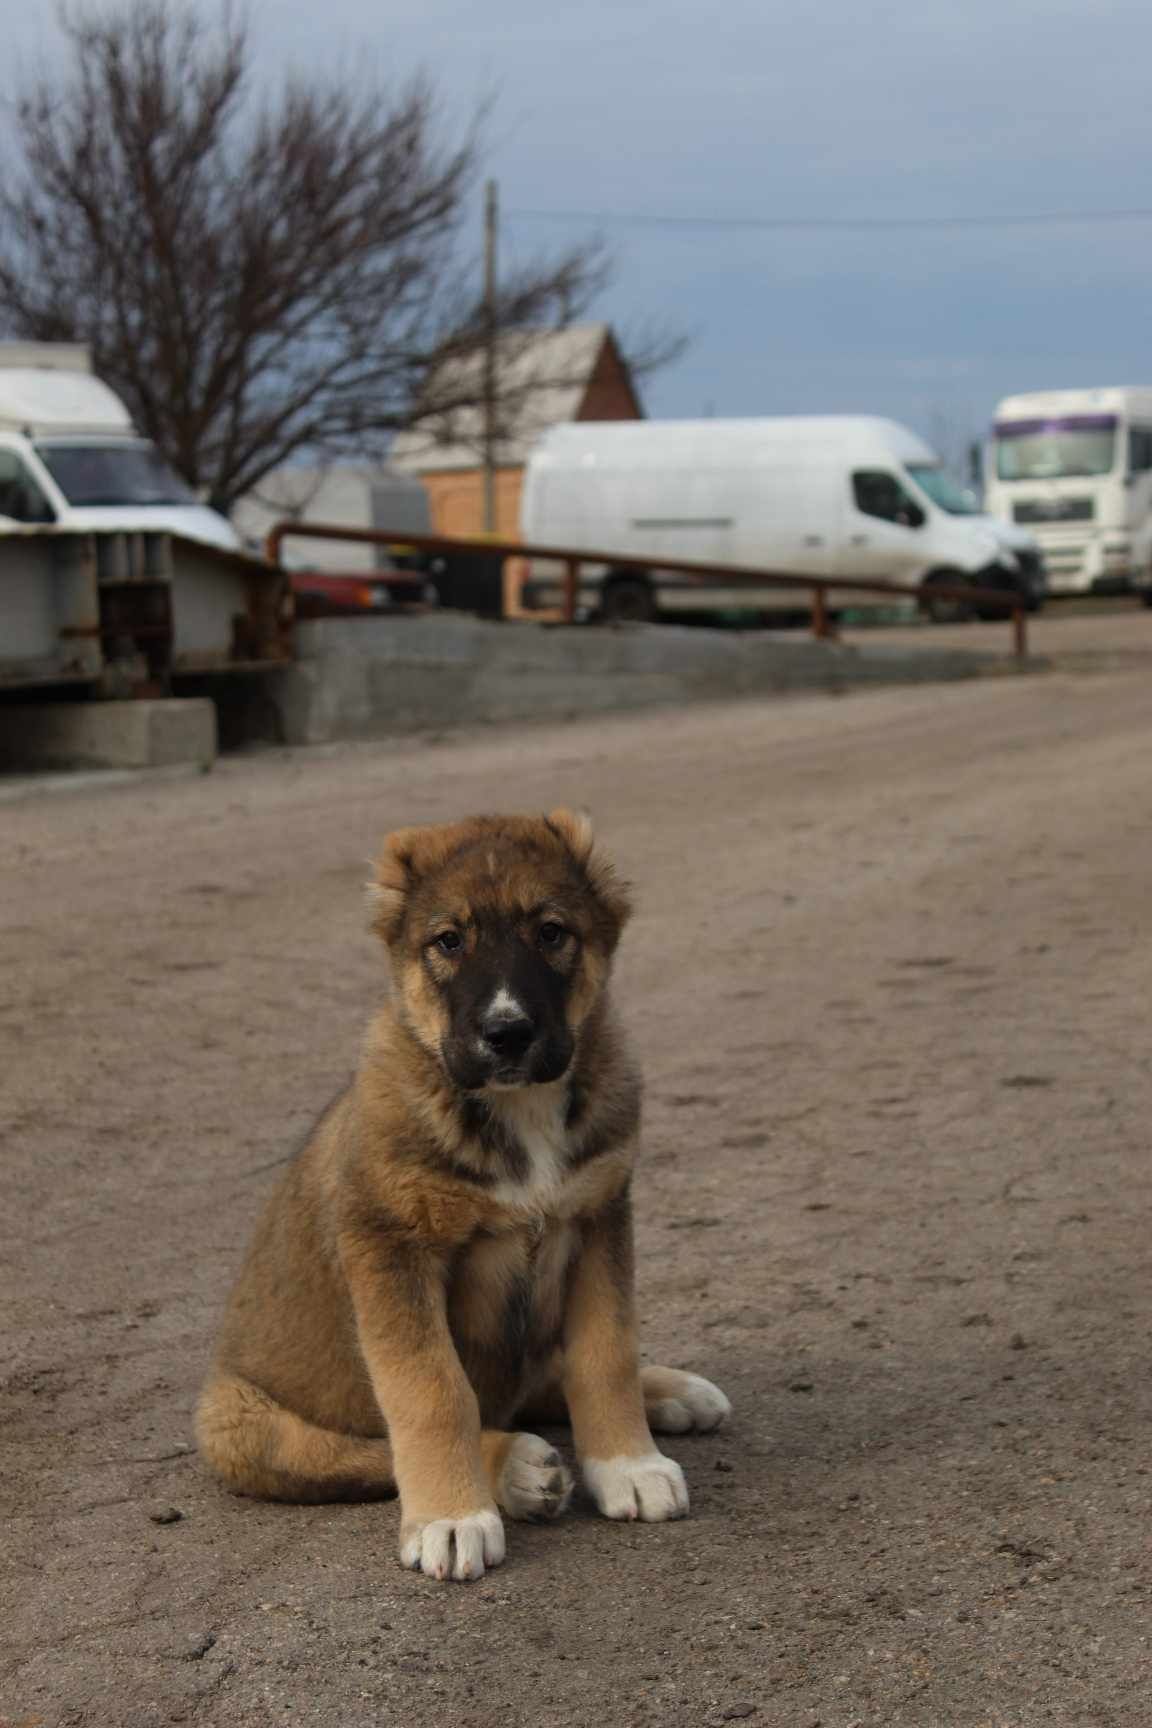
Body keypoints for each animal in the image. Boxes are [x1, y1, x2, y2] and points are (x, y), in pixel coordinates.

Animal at [192, 808, 725, 1582]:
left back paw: (672, 1394)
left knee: (542, 1379)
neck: (517, 1109)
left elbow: (604, 1353)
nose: (507, 1033)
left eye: (551, 931)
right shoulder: (391, 1249)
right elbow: (434, 1392)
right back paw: (514, 1471)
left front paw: (627, 1464)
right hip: (236, 1424)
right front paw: (452, 1516)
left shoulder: (598, 1217)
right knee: (388, 1444)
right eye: (448, 941)